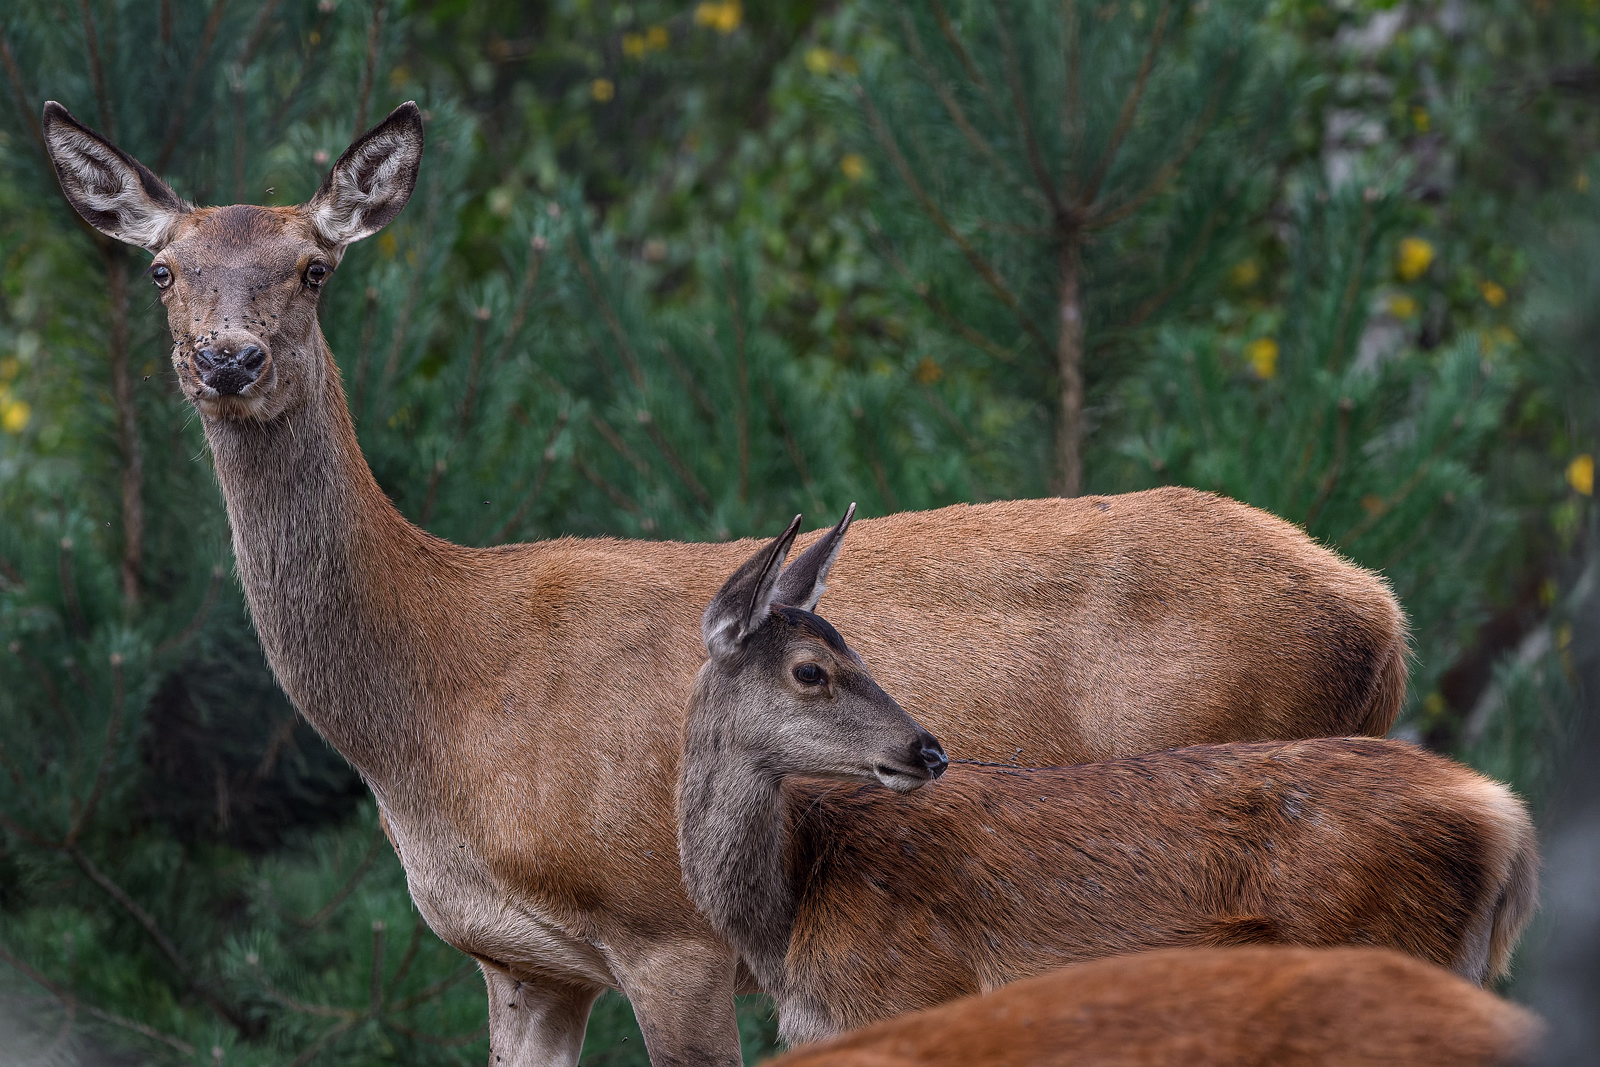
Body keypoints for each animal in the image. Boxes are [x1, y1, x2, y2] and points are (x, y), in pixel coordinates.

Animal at [42, 98, 1415, 1067]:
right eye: (161, 268)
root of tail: (1379, 609)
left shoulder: (666, 928)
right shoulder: (522, 964)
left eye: (314, 267)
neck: (437, 705)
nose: (227, 360)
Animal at [681, 512, 1539, 1047]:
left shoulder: (909, 988)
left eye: (848, 653)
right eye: (814, 667)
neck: (790, 914)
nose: (927, 750)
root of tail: (1506, 819)